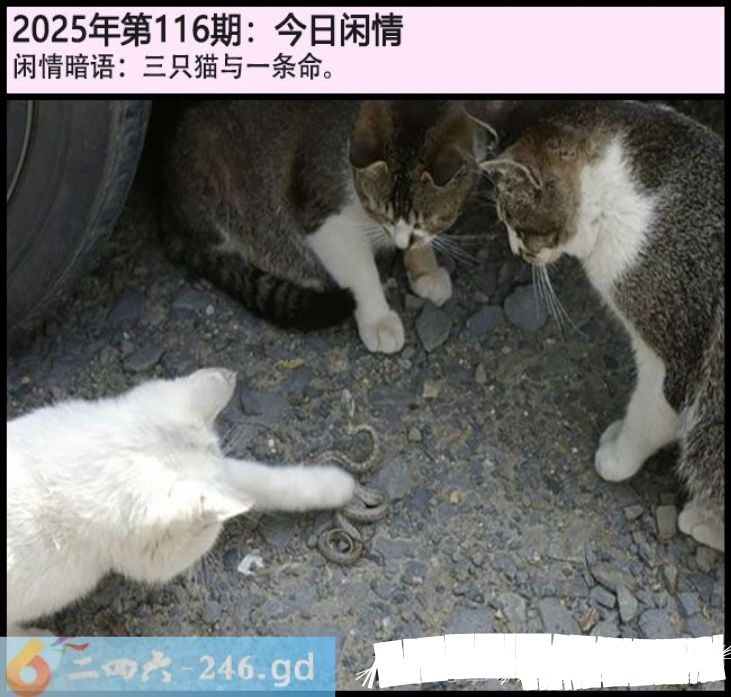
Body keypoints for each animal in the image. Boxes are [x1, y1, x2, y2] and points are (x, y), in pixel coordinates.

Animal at [161, 100, 489, 354]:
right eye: (379, 211)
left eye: (430, 218)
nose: (399, 243)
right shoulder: (323, 214)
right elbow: (360, 271)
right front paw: (378, 319)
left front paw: (425, 270)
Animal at [480, 100, 725, 551]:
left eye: (513, 221)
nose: (514, 250)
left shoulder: (674, 360)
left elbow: (648, 415)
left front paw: (617, 457)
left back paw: (699, 519)